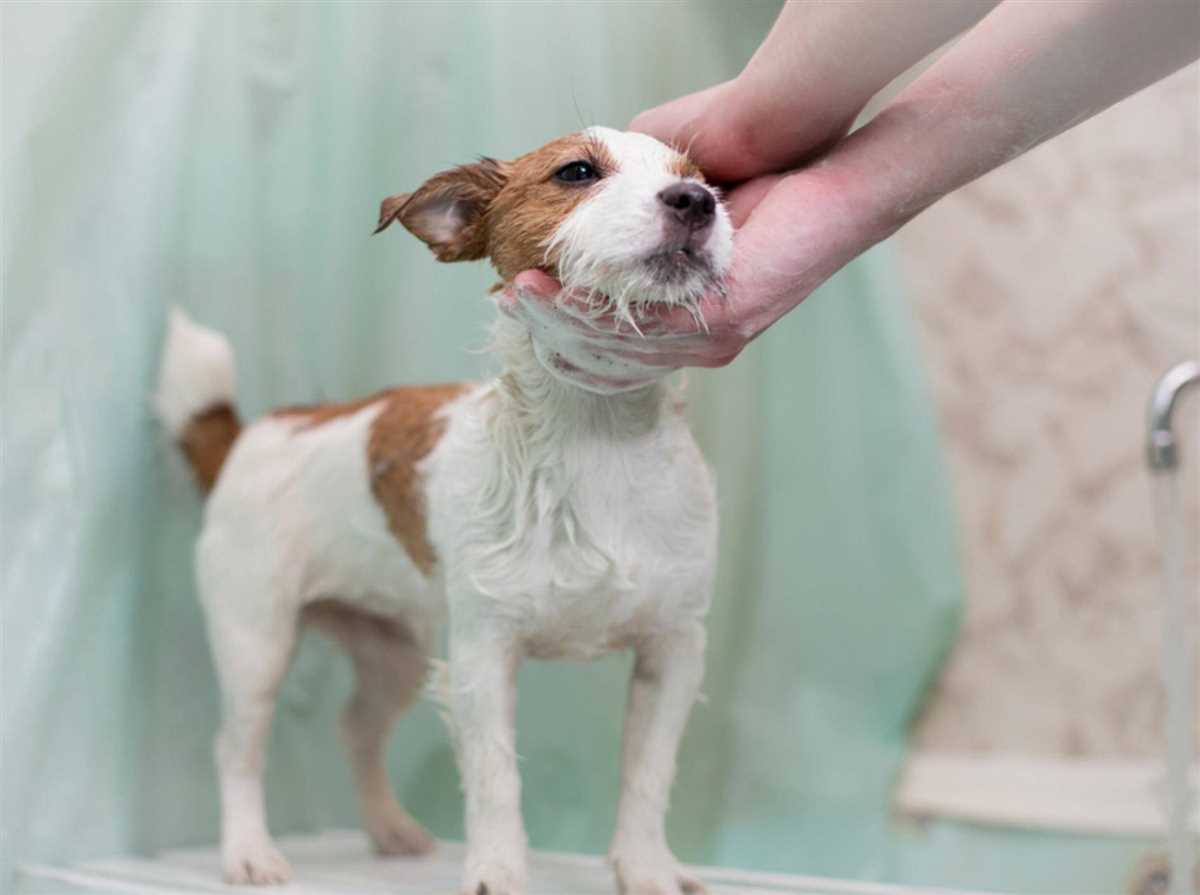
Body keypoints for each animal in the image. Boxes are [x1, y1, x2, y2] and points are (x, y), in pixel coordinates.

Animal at [154, 127, 734, 892]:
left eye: (702, 177)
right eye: (577, 172)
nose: (696, 201)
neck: (598, 439)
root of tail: (253, 434)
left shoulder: (674, 651)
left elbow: (647, 776)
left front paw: (645, 868)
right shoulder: (484, 654)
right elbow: (494, 778)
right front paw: (497, 871)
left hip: (392, 651)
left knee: (356, 728)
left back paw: (388, 826)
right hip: (256, 640)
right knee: (236, 748)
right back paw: (249, 850)